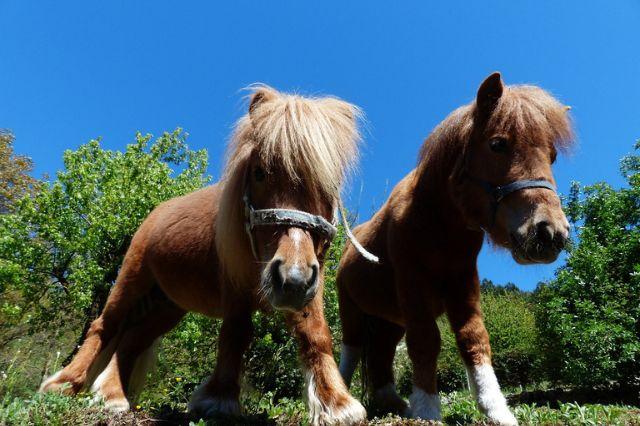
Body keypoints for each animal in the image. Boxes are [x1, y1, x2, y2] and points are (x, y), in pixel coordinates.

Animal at [40, 86, 368, 426]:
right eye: (259, 173)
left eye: (329, 183)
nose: (292, 279)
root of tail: (156, 213)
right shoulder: (235, 286)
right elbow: (235, 333)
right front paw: (218, 400)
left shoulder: (308, 282)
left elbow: (315, 334)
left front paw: (335, 403)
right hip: (133, 278)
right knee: (105, 325)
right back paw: (64, 384)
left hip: (167, 304)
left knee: (132, 338)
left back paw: (113, 395)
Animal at [338, 73, 572, 426]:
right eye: (497, 144)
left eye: (552, 156)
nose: (551, 232)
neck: (437, 223)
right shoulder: (413, 284)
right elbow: (426, 341)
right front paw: (427, 409)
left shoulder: (463, 284)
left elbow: (473, 338)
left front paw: (496, 409)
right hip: (351, 311)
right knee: (350, 351)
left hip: (389, 320)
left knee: (381, 353)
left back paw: (391, 401)